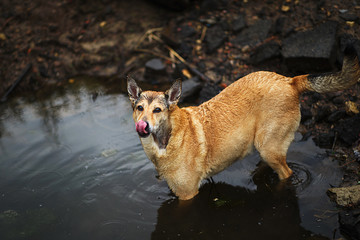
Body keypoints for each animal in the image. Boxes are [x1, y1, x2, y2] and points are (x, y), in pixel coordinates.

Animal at [127, 46, 360, 200]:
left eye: (157, 110)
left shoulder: (188, 194)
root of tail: (290, 81)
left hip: (269, 147)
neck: (166, 139)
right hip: (263, 146)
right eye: (140, 109)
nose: (143, 126)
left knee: (288, 173)